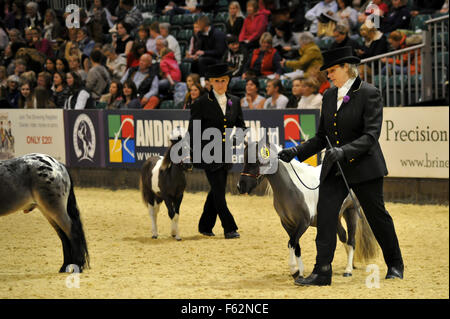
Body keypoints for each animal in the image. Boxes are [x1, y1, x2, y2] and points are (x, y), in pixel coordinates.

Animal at [237, 142, 378, 280]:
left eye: (256, 160)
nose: (240, 186)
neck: (292, 188)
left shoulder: (303, 223)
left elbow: (292, 243)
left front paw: (294, 270)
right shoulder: (287, 223)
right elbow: (295, 246)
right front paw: (298, 272)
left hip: (351, 211)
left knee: (351, 240)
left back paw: (348, 270)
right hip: (335, 215)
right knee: (343, 236)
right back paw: (350, 264)